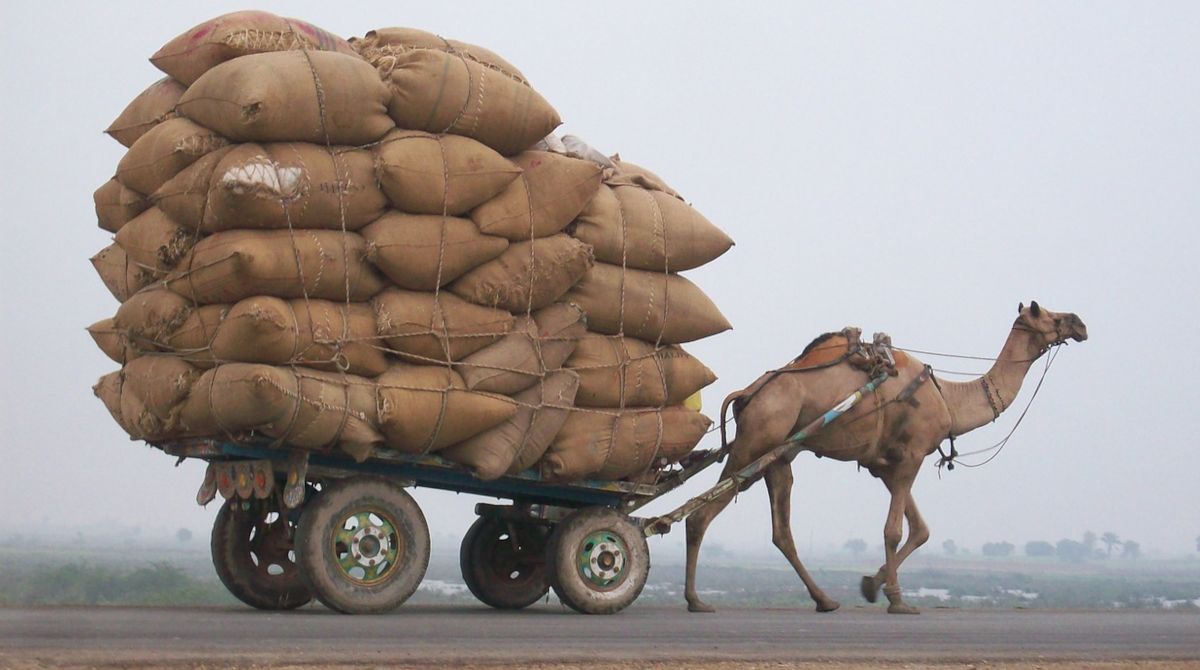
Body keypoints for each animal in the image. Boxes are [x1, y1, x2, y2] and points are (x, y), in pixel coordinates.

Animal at [686, 302, 1089, 619]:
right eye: (1047, 313)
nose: (1080, 323)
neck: (948, 398)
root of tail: (747, 394)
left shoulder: (884, 465)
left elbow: (921, 529)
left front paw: (870, 585)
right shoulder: (912, 456)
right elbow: (894, 530)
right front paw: (897, 600)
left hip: (778, 455)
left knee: (780, 530)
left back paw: (824, 600)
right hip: (756, 441)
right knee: (699, 514)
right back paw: (697, 600)